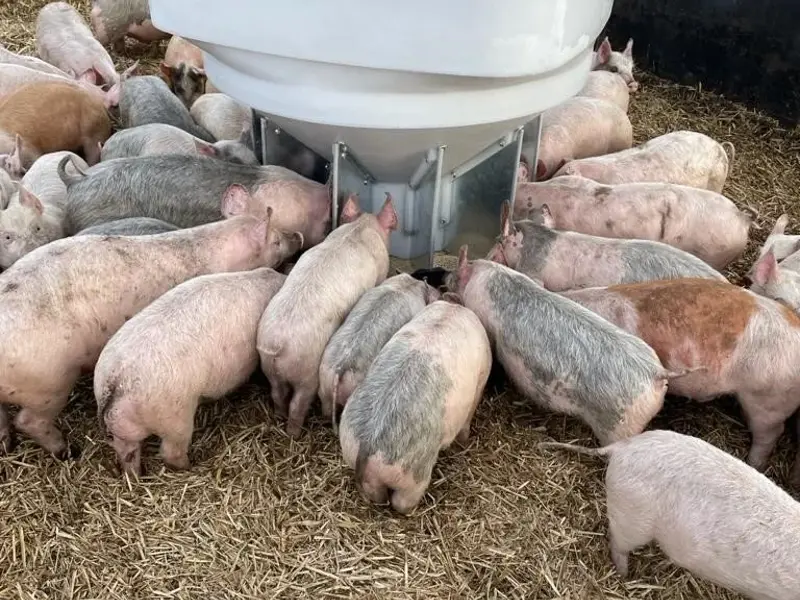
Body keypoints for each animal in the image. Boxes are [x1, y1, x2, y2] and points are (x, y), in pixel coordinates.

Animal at [95, 267, 287, 475]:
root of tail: (114, 381)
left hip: (124, 428)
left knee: (127, 452)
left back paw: (136, 475)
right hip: (176, 416)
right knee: (170, 451)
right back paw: (189, 467)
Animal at [257, 194, 398, 437]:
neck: (360, 227)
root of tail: (276, 344)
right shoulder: (380, 271)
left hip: (269, 368)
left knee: (277, 393)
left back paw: (279, 416)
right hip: (307, 372)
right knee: (298, 403)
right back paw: (294, 433)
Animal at [339, 300, 492, 514]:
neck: (452, 308)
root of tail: (368, 444)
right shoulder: (482, 375)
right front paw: (464, 441)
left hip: (350, 450)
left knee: (376, 496)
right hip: (413, 474)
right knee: (402, 501)